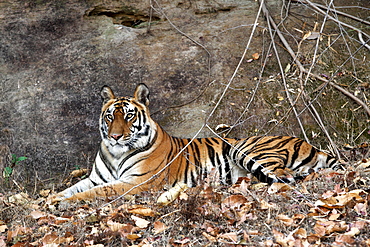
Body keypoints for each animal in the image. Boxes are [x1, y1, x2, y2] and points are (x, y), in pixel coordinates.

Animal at [56, 83, 342, 203]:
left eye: (128, 116)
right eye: (109, 116)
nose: (115, 136)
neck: (115, 154)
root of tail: (308, 143)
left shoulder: (136, 182)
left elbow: (97, 192)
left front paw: (65, 203)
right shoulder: (95, 178)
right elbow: (72, 188)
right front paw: (53, 200)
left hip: (247, 150)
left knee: (286, 177)